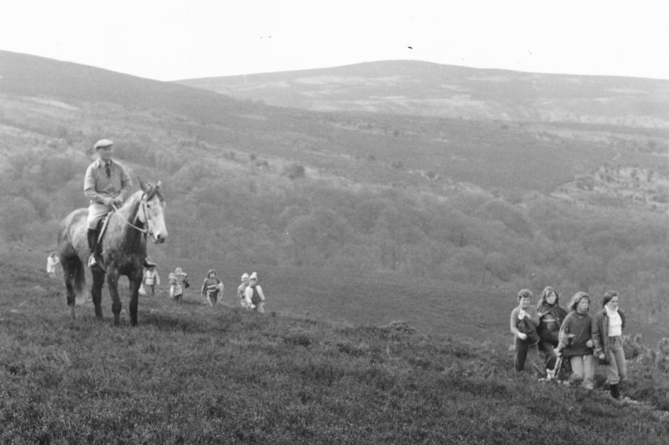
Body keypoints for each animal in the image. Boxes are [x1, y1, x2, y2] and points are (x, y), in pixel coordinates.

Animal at [57, 178, 167, 326]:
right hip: (68, 265)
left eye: (163, 204)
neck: (125, 236)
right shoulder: (112, 273)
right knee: (71, 293)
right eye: (148, 205)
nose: (161, 236)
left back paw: (99, 318)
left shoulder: (136, 274)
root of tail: (68, 219)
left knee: (96, 293)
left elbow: (133, 304)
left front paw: (134, 324)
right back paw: (72, 318)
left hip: (97, 270)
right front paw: (117, 325)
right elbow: (116, 304)